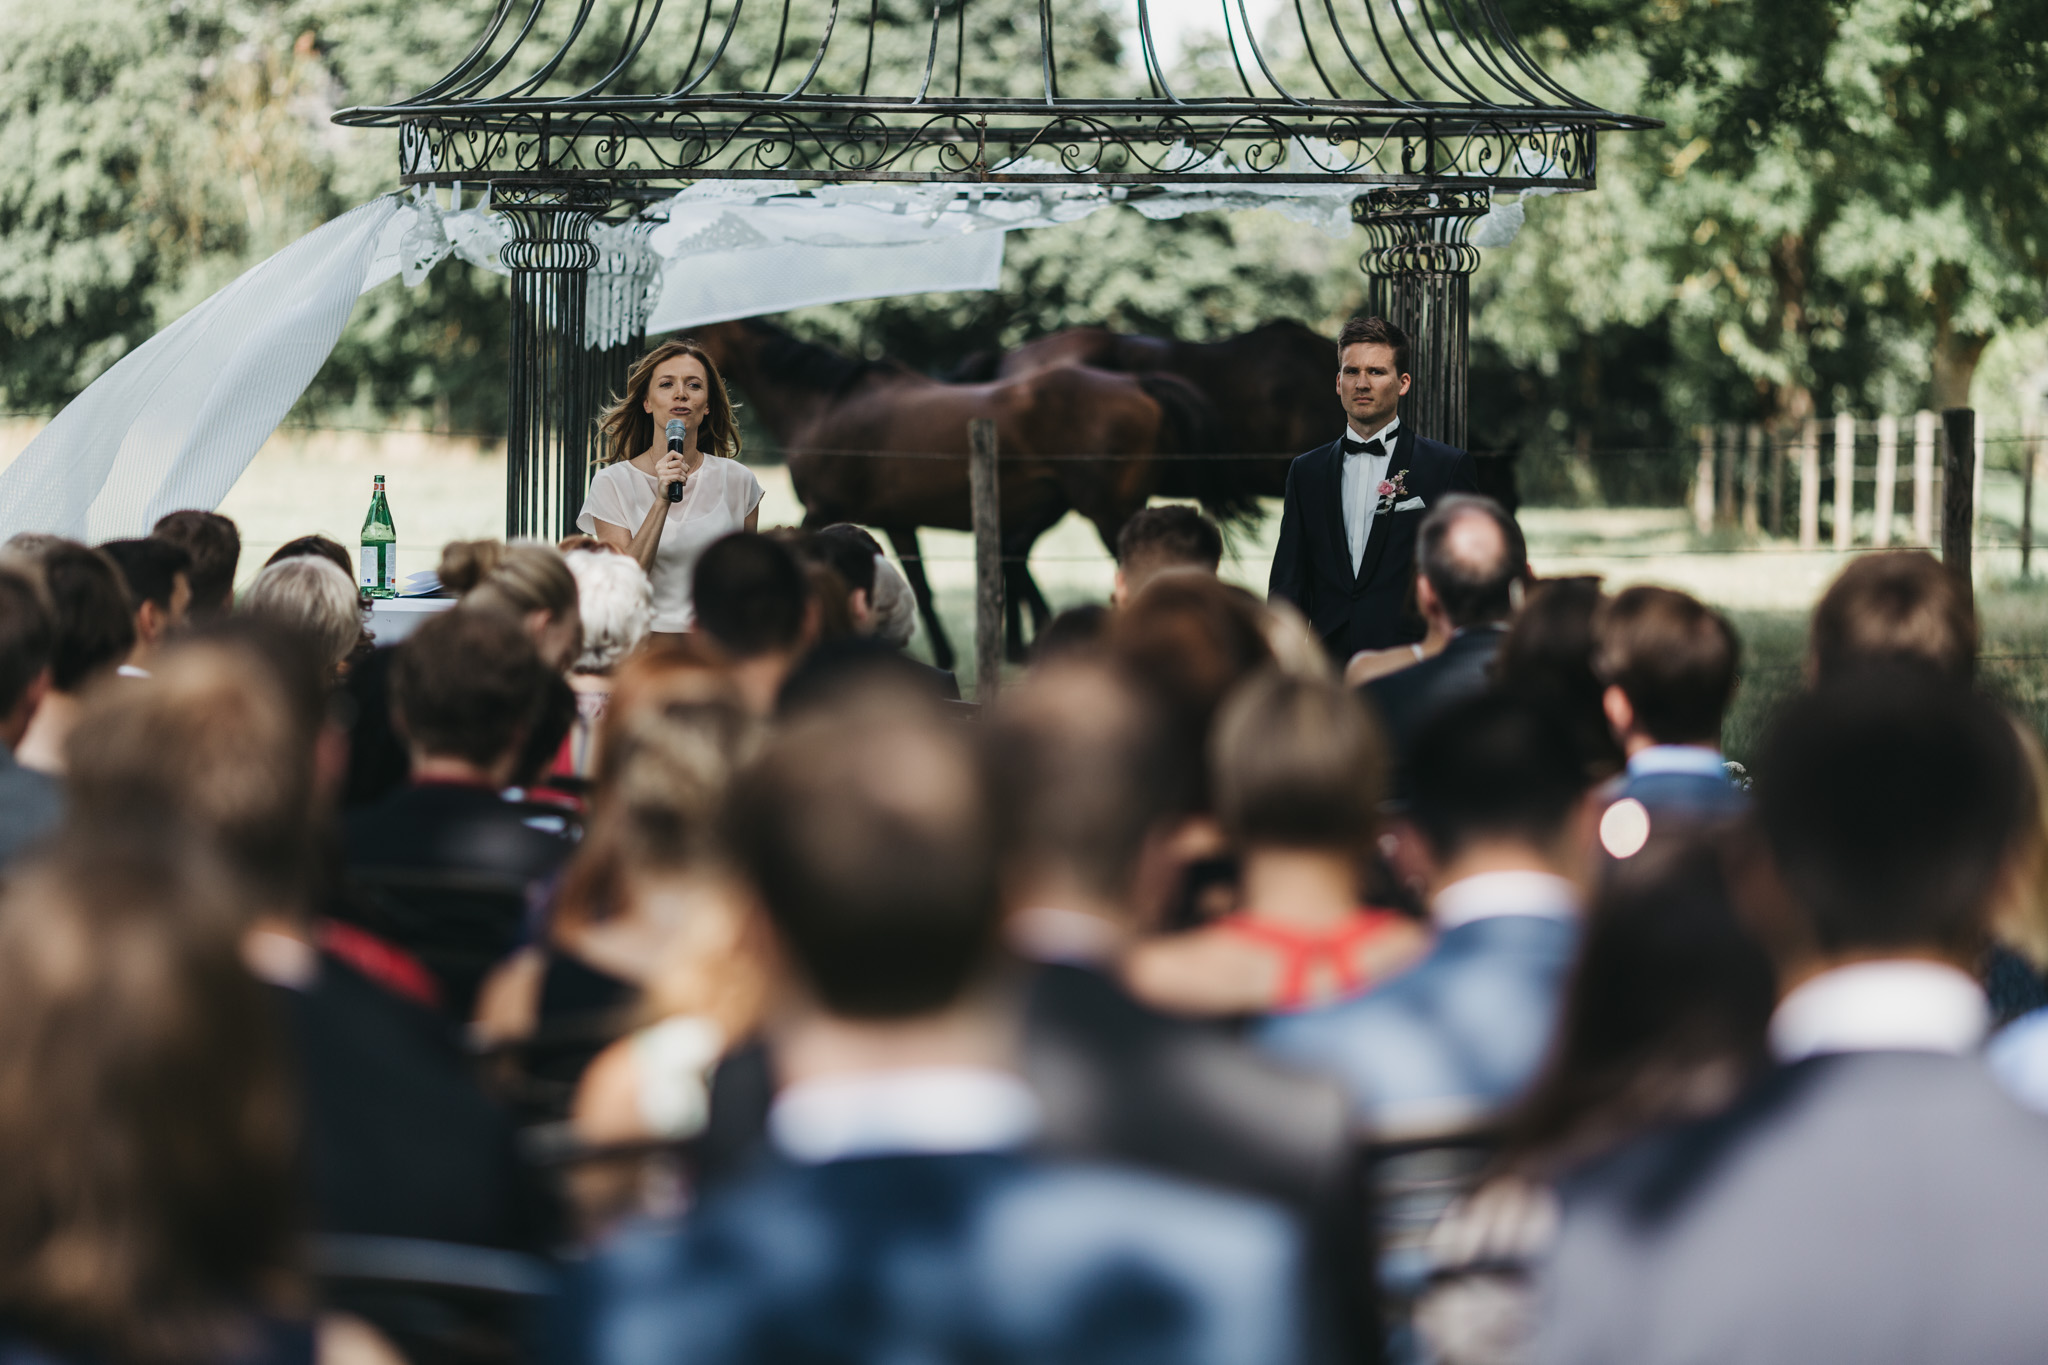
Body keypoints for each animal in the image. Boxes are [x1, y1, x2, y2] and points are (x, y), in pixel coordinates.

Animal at [692, 317, 1196, 667]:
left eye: (698, 336)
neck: (826, 405)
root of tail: (1138, 386)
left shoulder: (822, 510)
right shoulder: (898, 523)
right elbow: (922, 586)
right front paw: (945, 655)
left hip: (1111, 515)